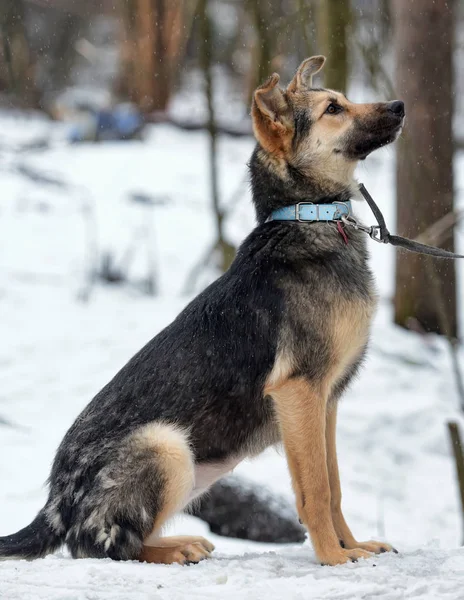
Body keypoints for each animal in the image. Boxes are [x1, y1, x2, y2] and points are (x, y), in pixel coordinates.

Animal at [0, 57, 402, 568]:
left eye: (344, 99)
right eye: (334, 108)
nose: (400, 105)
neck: (306, 217)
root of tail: (54, 504)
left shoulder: (325, 400)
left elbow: (334, 486)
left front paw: (353, 545)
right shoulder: (300, 392)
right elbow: (315, 489)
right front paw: (332, 556)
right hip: (167, 446)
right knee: (100, 545)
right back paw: (176, 548)